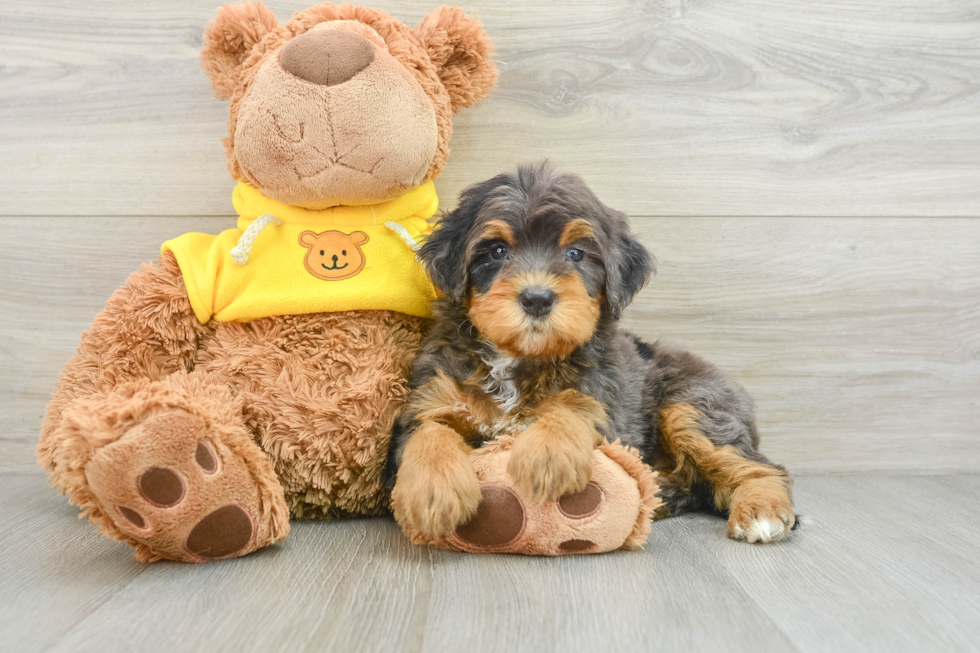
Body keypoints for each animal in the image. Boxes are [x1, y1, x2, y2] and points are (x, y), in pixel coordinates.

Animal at [382, 164, 796, 544]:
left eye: (576, 253)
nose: (537, 298)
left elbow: (575, 406)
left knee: (761, 465)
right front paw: (433, 492)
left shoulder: (605, 396)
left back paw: (761, 511)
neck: (520, 360)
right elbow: (429, 431)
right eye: (497, 250)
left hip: (694, 406)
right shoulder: (434, 394)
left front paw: (547, 455)